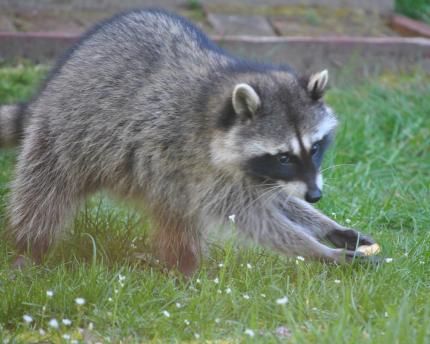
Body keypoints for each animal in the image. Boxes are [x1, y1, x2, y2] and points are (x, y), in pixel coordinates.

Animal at [0, 9, 376, 276]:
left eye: (315, 147)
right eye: (283, 156)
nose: (315, 195)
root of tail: (50, 89)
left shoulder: (246, 170)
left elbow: (275, 197)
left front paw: (325, 225)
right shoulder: (194, 160)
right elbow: (254, 216)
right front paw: (320, 252)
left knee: (175, 215)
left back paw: (182, 266)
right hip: (63, 137)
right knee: (43, 194)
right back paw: (30, 247)